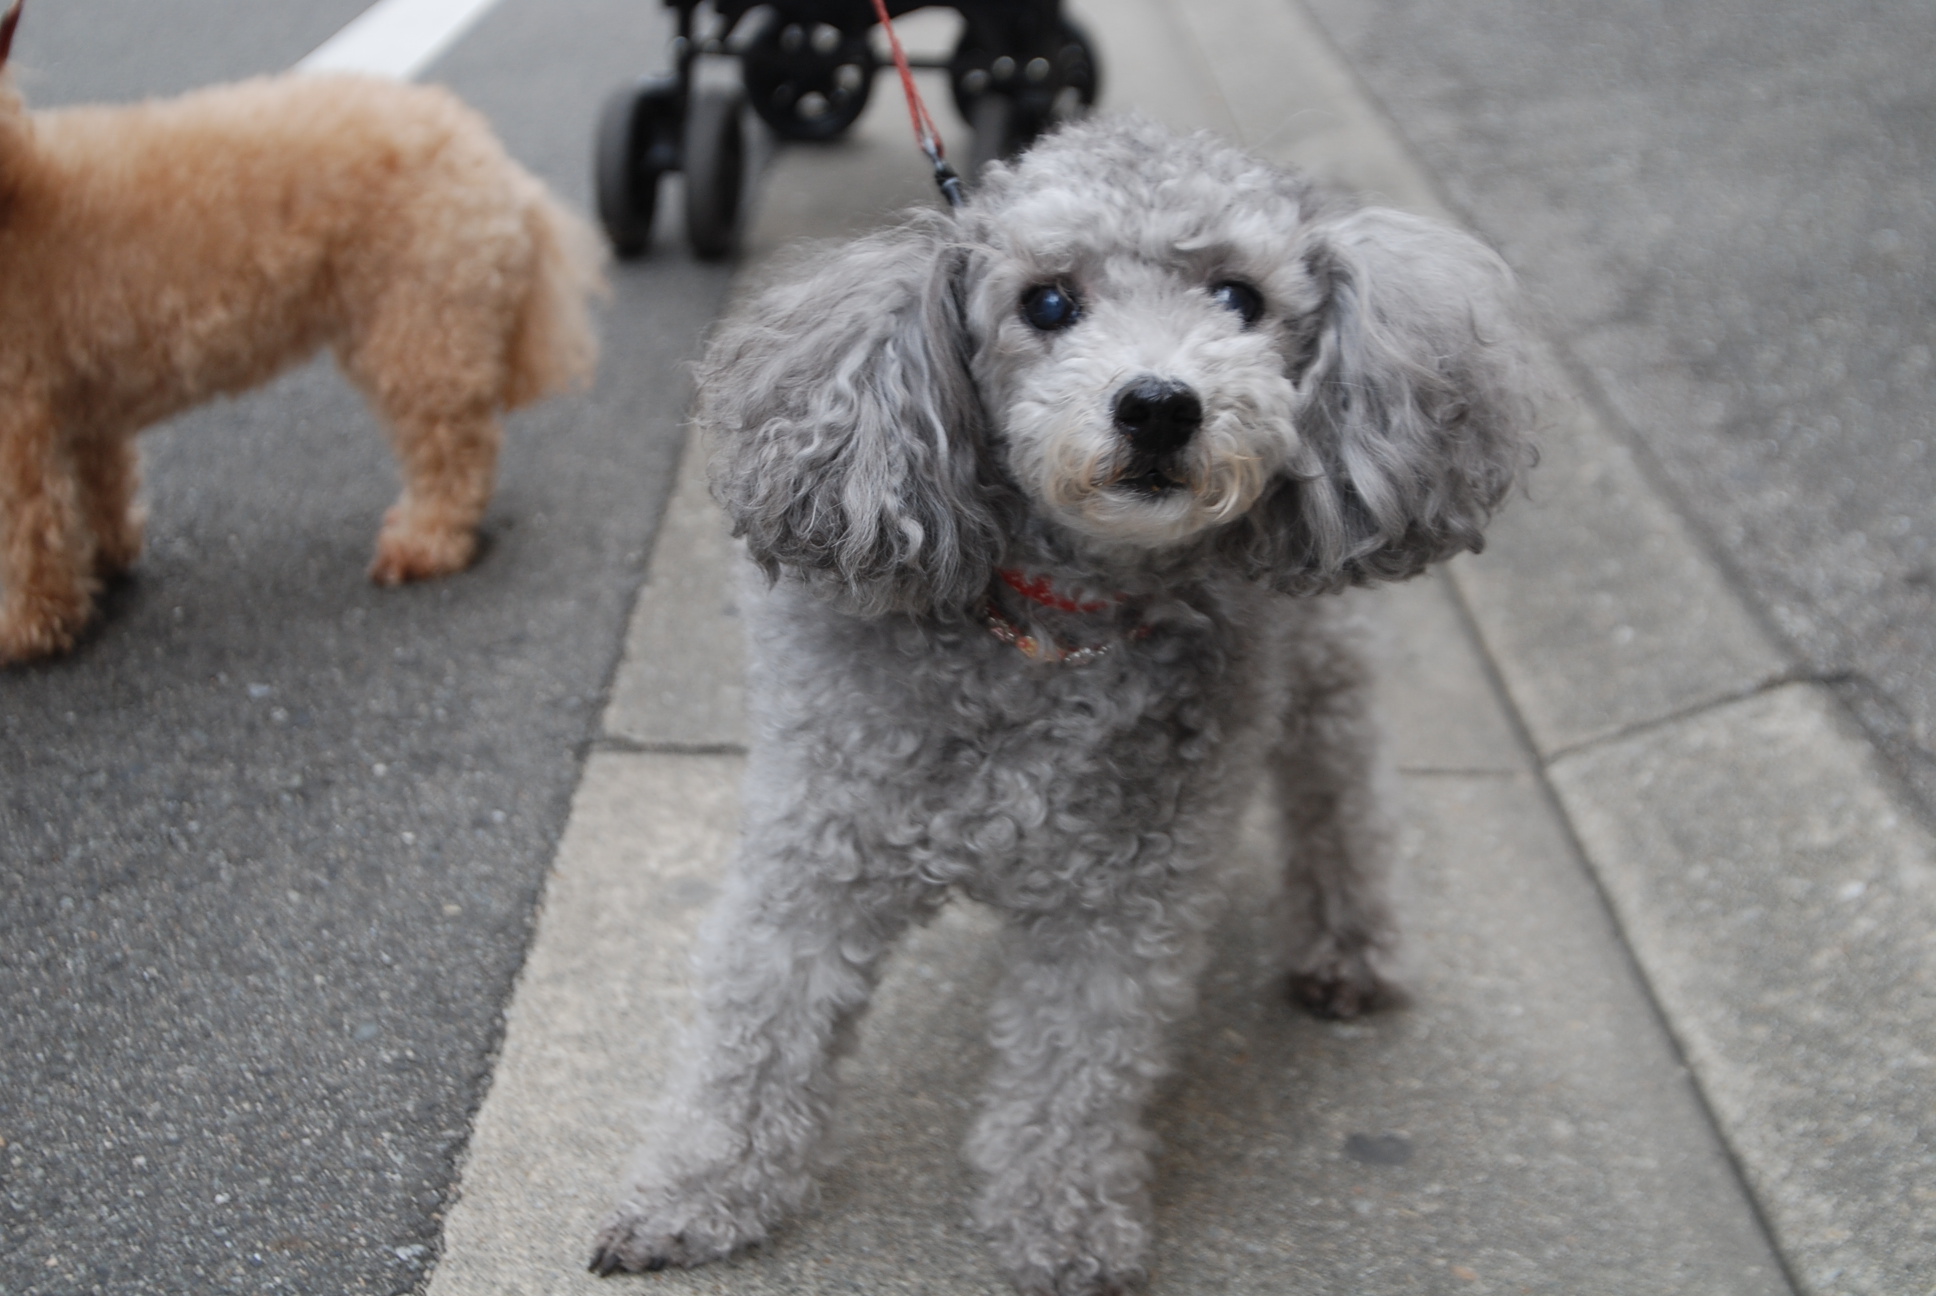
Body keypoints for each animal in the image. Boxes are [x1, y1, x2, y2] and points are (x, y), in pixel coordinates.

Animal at [0, 0, 600, 662]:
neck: (16, 194)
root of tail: (491, 157)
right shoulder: (80, 405)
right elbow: (96, 488)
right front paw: (105, 559)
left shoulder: (16, 419)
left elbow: (25, 532)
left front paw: (26, 626)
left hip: (419, 327)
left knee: (454, 448)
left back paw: (425, 542)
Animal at [584, 113, 1525, 1294]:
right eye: (1045, 303)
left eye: (1238, 298)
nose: (1160, 406)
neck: (1051, 626)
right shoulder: (820, 854)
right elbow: (755, 1037)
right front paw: (695, 1196)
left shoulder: (1120, 908)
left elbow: (1078, 1073)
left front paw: (1063, 1229)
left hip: (1322, 668)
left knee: (1341, 802)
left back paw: (1349, 951)